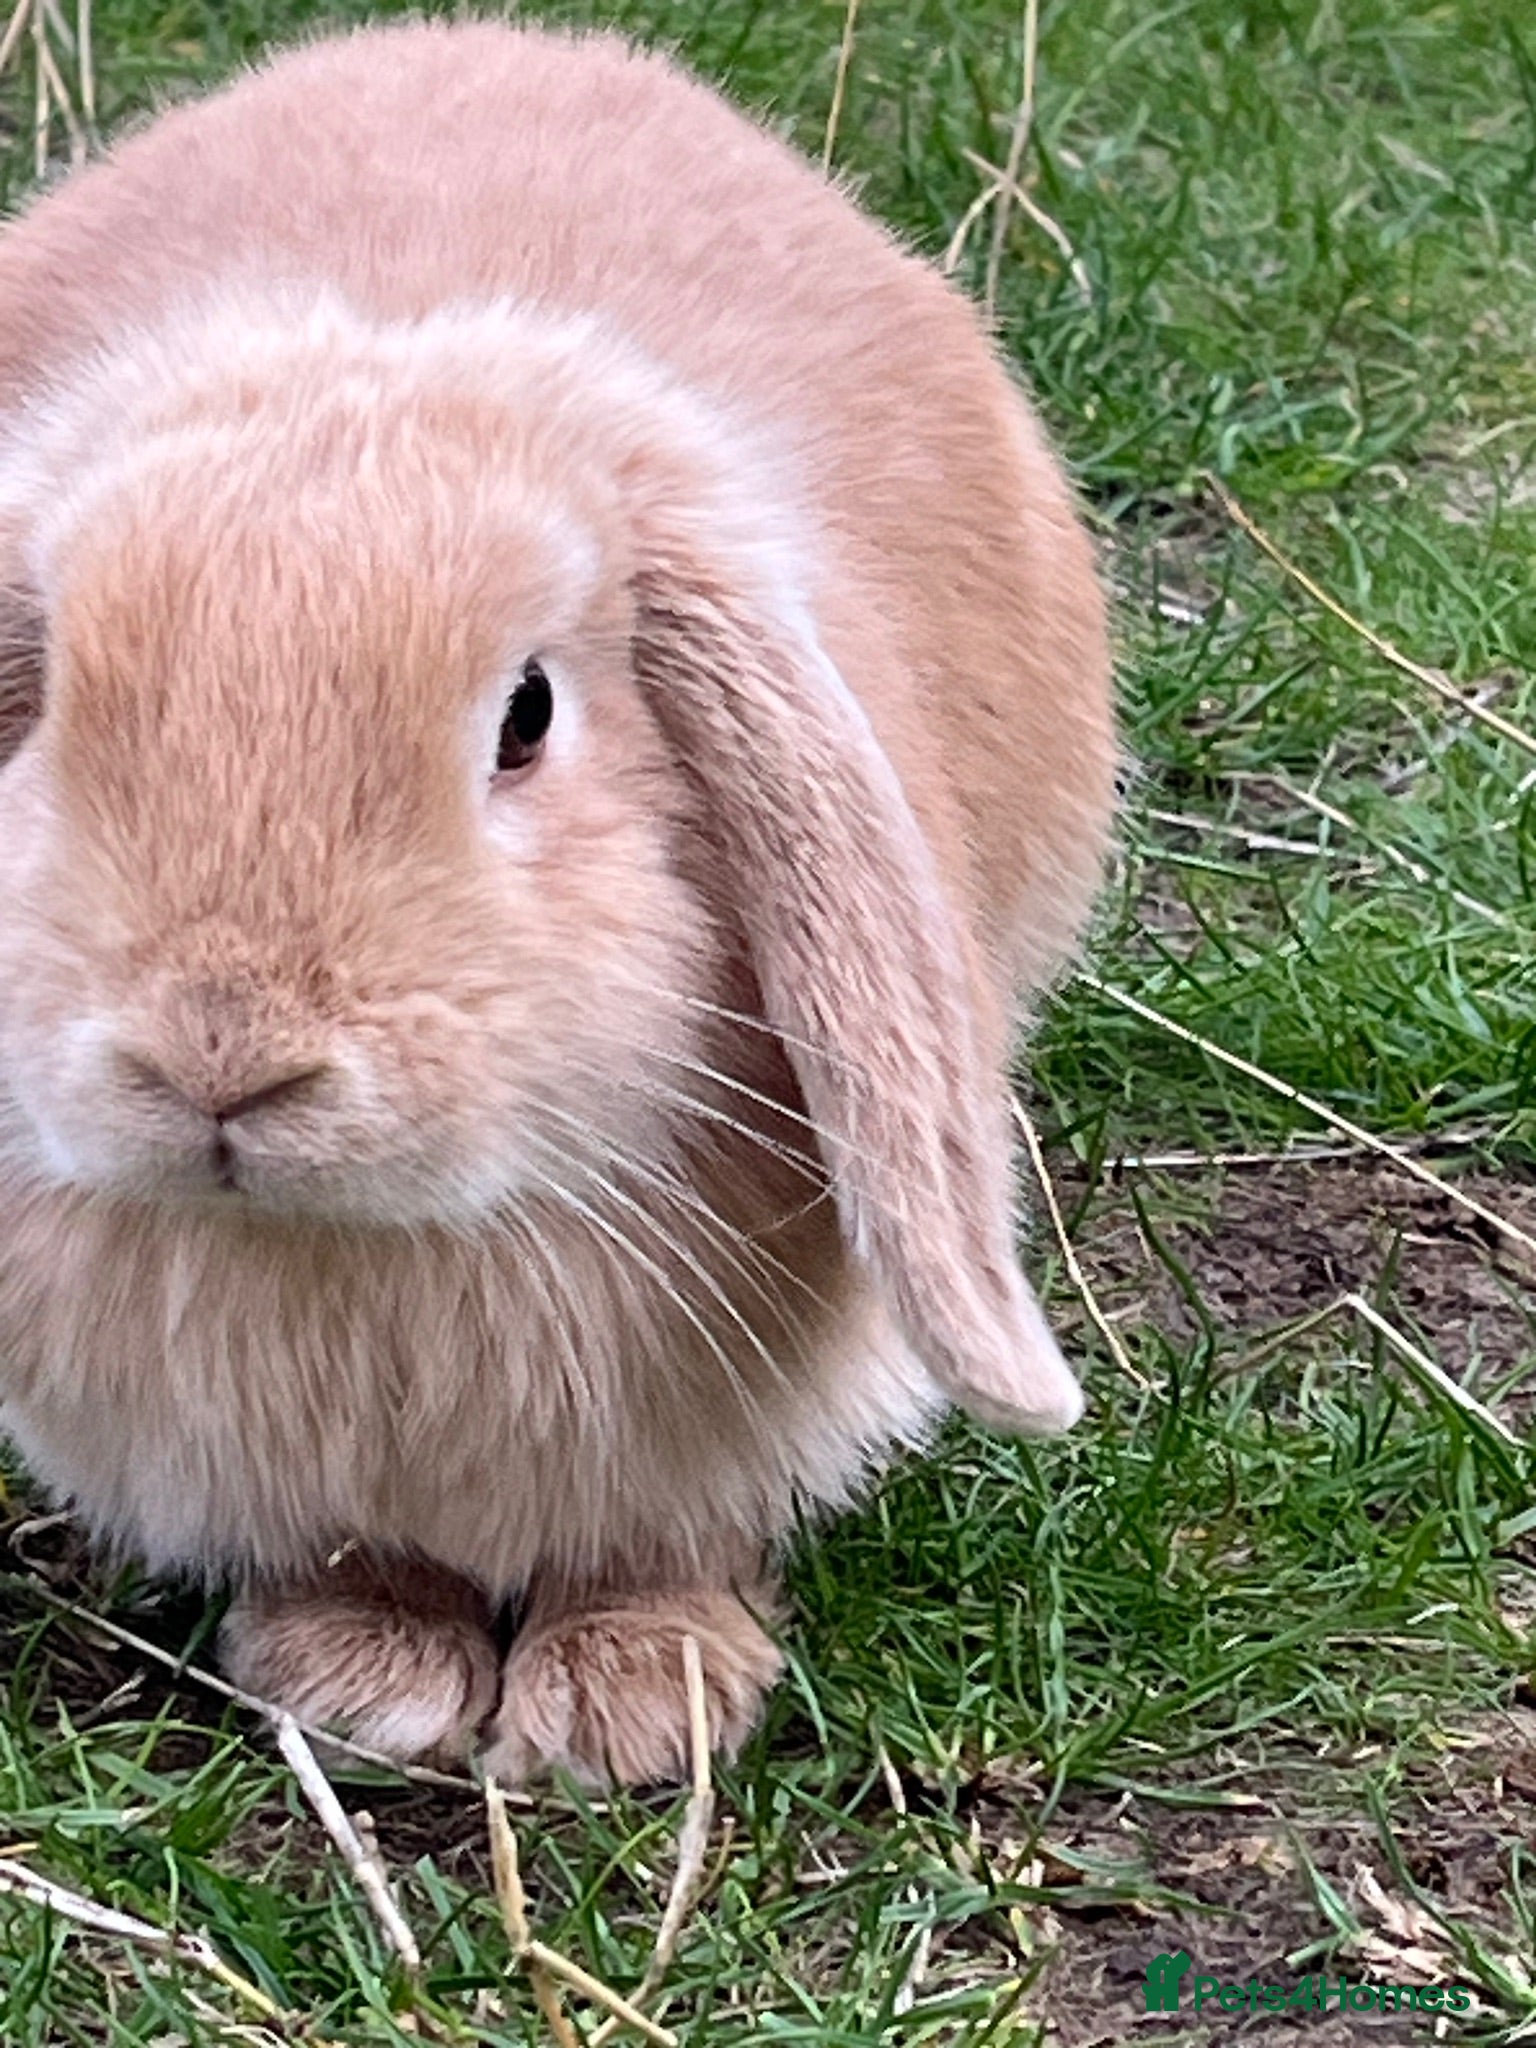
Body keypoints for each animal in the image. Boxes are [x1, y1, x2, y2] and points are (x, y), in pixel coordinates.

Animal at [0, 20, 1116, 1785]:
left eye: (526, 717)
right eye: (51, 714)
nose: (217, 1058)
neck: (369, 1252)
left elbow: (657, 1541)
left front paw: (631, 1708)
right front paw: (365, 1679)